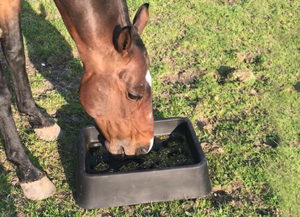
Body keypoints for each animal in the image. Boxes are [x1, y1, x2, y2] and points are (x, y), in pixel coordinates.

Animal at [0, 0, 154, 200]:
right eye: (134, 95)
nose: (145, 146)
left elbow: (16, 53)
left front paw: (39, 119)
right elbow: (3, 94)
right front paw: (29, 172)